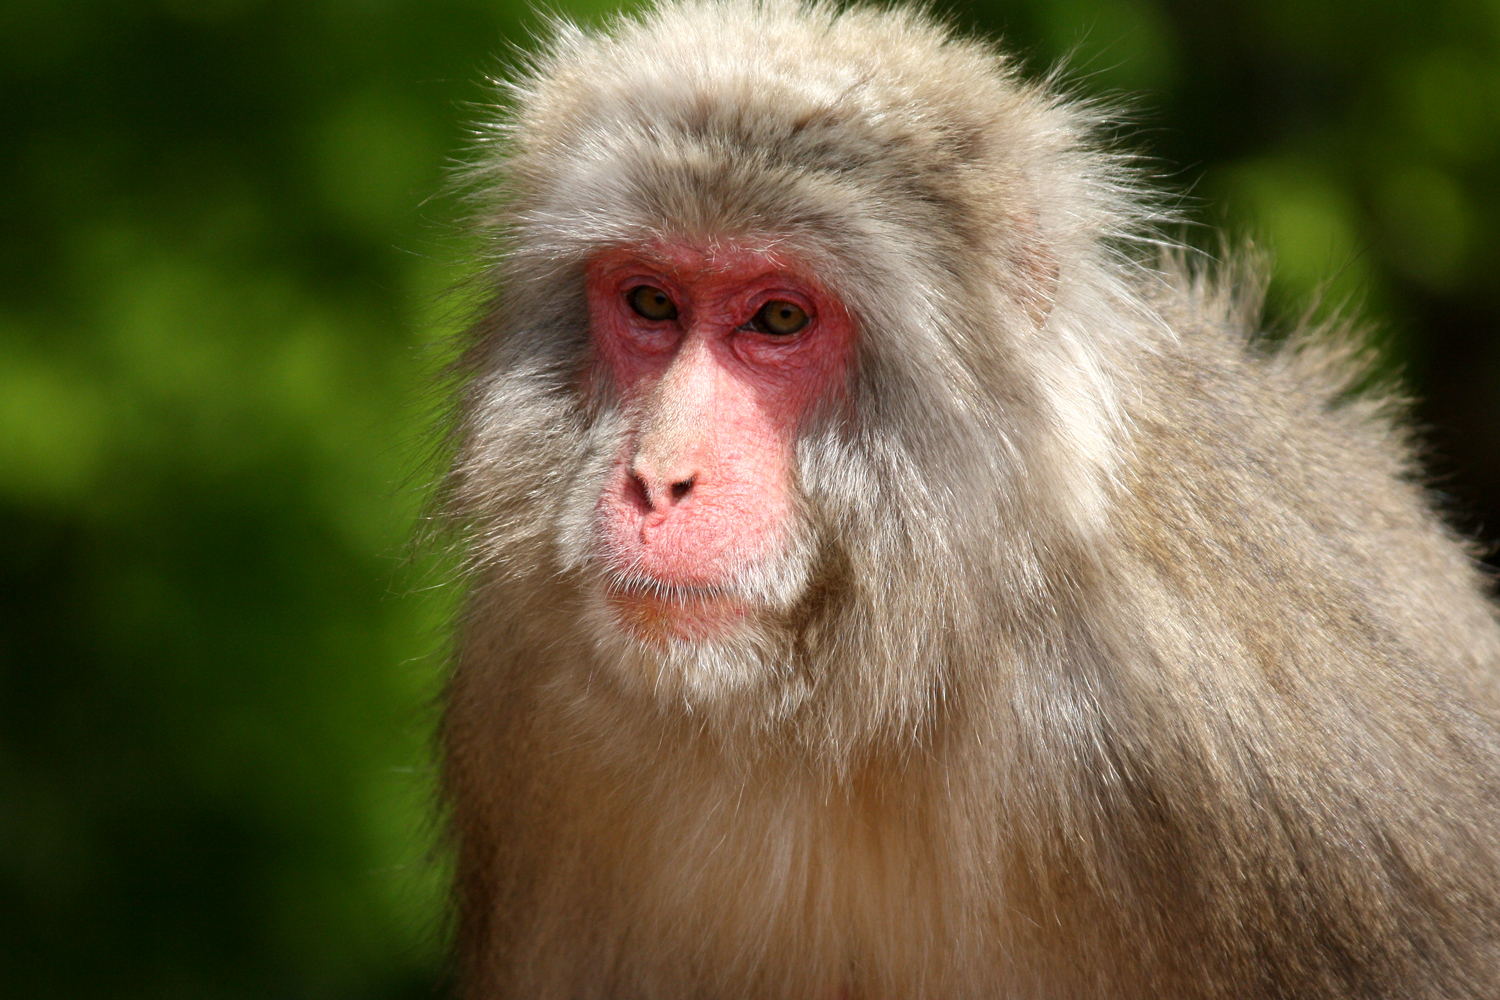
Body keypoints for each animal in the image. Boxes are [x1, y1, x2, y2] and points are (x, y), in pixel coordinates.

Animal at [438, 3, 1500, 995]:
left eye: (778, 317)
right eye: (652, 303)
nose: (659, 478)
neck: (881, 689)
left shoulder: (1242, 758)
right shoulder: (522, 694)